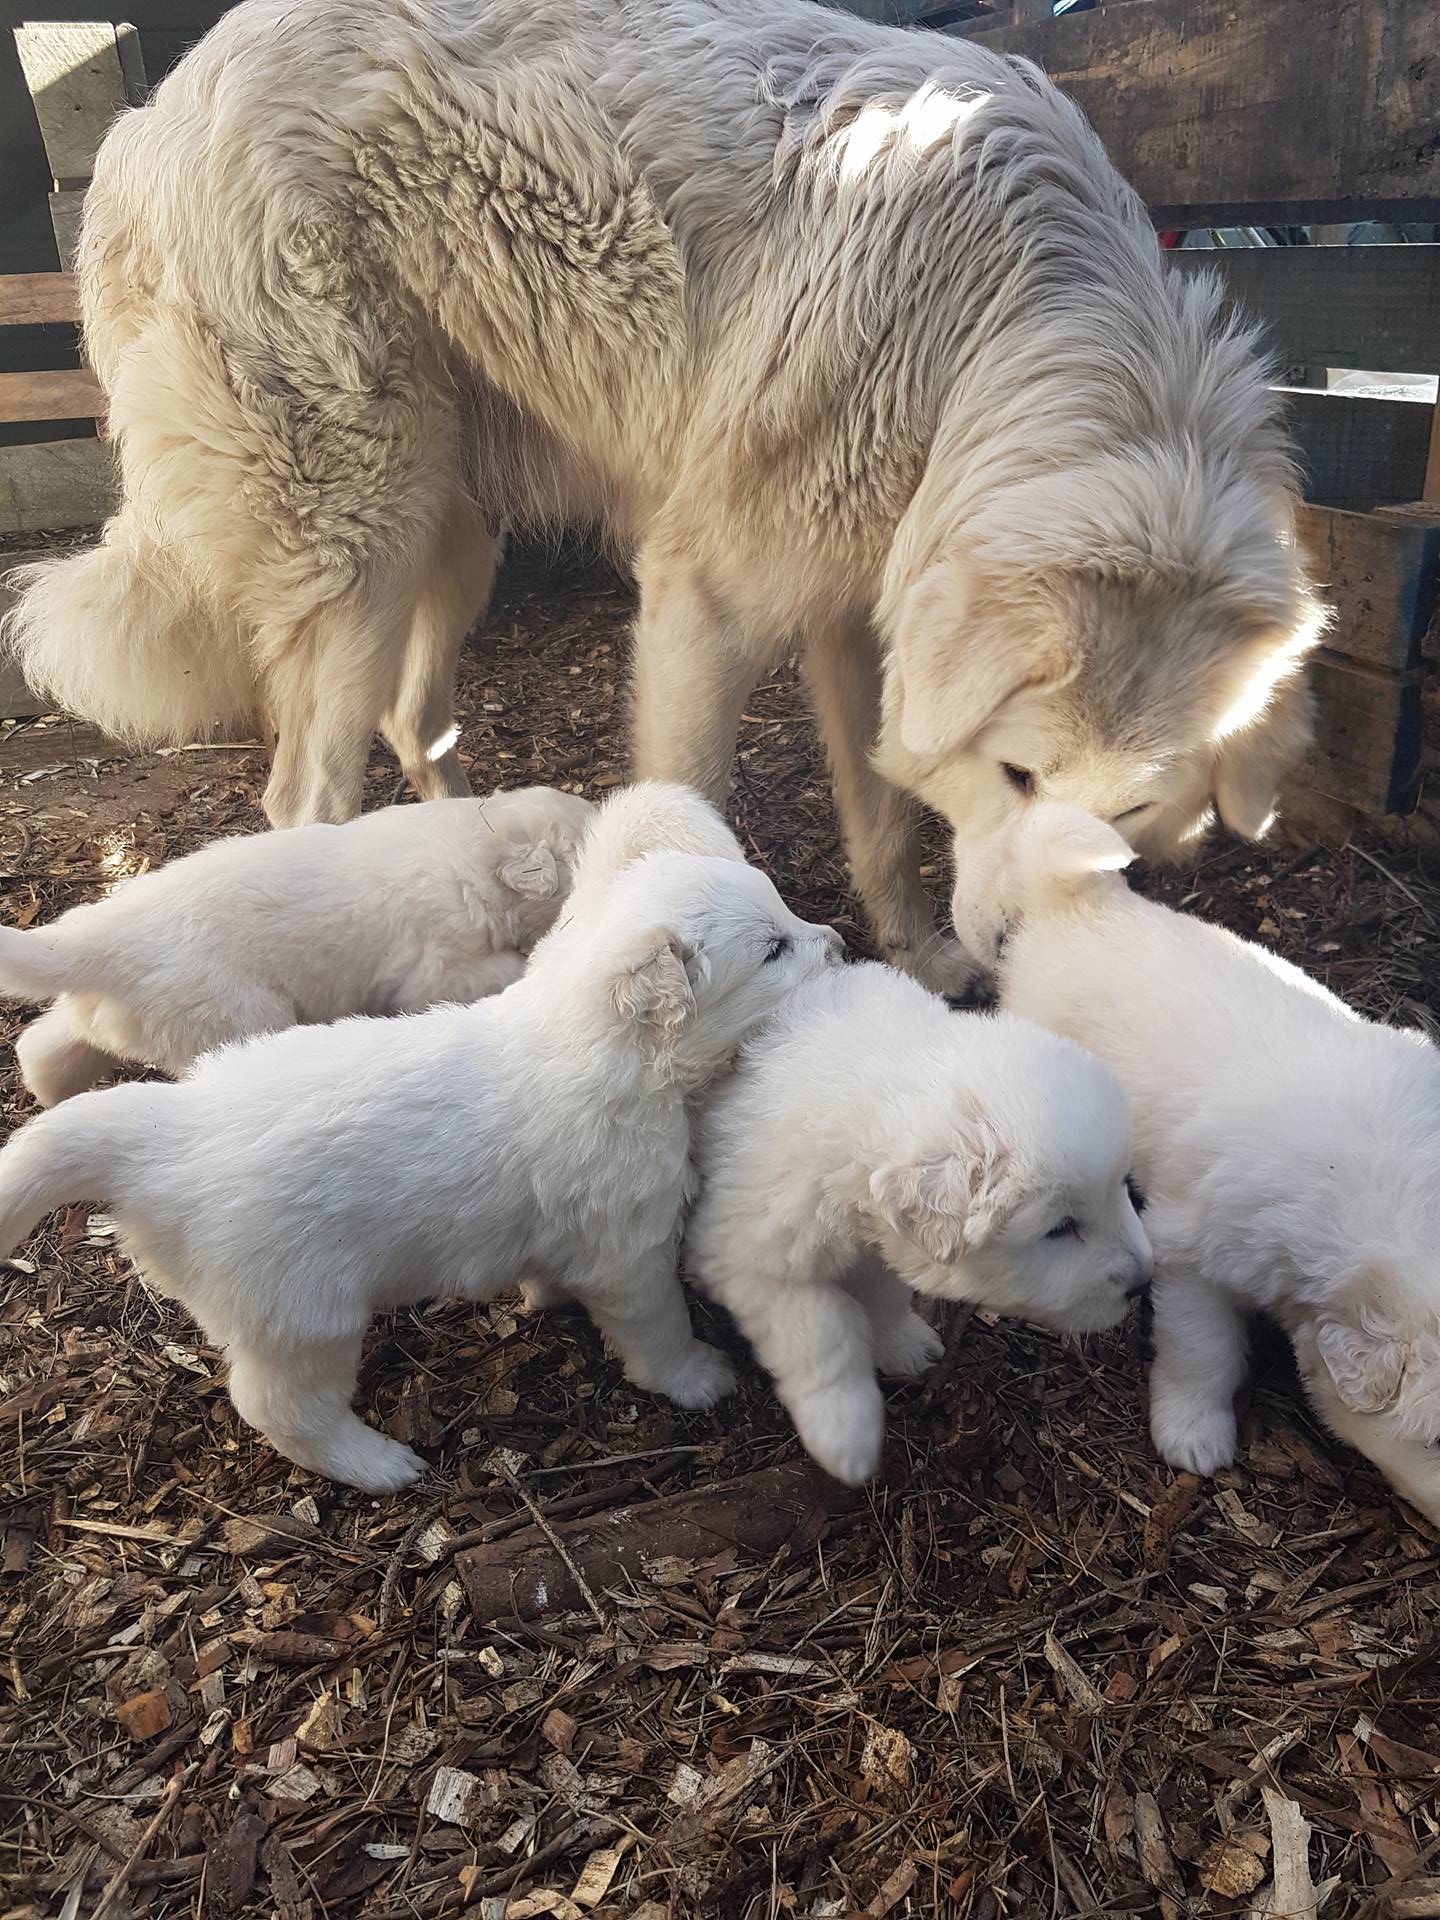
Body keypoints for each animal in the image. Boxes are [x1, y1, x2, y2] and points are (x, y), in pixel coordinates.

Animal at [0, 837, 840, 1482]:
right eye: (773, 949)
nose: (835, 942)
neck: (615, 1054)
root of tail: (162, 1134)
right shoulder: (628, 1251)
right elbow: (658, 1326)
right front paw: (697, 1376)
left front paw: (544, 1297)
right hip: (303, 1316)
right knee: (279, 1407)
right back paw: (375, 1463)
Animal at [2, 0, 1320, 990]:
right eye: (1018, 778)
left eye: (1128, 819)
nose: (1017, 963)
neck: (999, 327)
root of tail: (151, 111)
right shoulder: (709, 603)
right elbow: (700, 803)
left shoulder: (862, 608)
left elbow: (884, 818)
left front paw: (916, 956)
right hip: (358, 542)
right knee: (303, 796)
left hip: (450, 541)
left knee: (414, 723)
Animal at [2, 783, 595, 1113]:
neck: (475, 856)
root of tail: (104, 941)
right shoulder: (435, 969)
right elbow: (503, 967)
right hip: (236, 1016)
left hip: (107, 1013)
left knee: (43, 1045)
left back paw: (50, 1094)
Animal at [687, 967, 1152, 1489]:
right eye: (1059, 1228)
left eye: (1122, 1187)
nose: (1143, 1283)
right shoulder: (750, 1253)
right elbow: (822, 1330)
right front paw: (846, 1438)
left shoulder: (878, 1246)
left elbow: (885, 1298)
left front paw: (906, 1346)